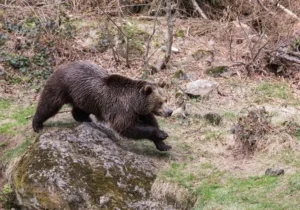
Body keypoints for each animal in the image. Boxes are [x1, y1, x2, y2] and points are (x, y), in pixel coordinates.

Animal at [31, 60, 172, 151]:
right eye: (160, 102)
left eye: (166, 99)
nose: (170, 111)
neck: (134, 102)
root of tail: (62, 65)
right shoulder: (122, 109)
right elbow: (127, 127)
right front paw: (162, 134)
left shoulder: (138, 111)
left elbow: (150, 120)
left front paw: (163, 145)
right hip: (62, 86)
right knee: (49, 104)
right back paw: (37, 124)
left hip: (84, 96)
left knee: (79, 109)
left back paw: (85, 118)